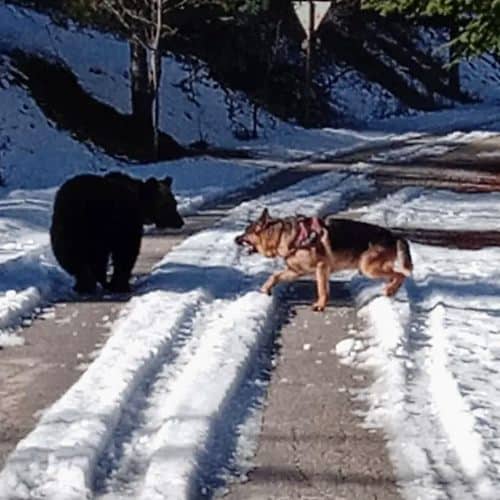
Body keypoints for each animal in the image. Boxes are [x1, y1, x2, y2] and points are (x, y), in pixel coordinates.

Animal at [50, 172, 185, 292]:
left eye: (174, 202)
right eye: (167, 204)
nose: (180, 222)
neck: (140, 204)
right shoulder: (124, 224)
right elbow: (126, 251)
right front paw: (120, 284)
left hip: (66, 226)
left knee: (68, 254)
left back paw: (83, 283)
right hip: (92, 223)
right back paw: (89, 282)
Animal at [236, 208, 412, 310]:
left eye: (246, 232)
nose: (235, 239)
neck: (281, 236)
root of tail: (394, 236)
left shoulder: (321, 268)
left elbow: (322, 289)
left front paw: (320, 305)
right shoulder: (295, 272)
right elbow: (274, 276)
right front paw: (265, 289)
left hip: (367, 268)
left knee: (401, 274)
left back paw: (390, 289)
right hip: (372, 268)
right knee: (394, 274)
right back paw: (390, 289)